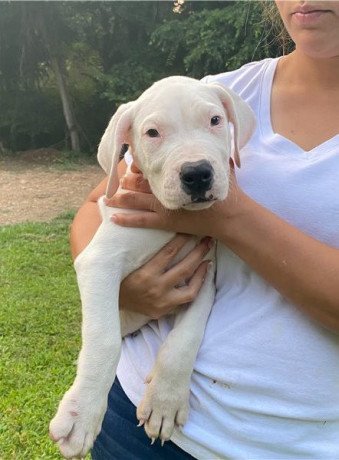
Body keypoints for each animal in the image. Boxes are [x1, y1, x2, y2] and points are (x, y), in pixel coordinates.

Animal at [48, 77, 255, 458]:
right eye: (152, 133)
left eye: (215, 121)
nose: (197, 174)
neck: (173, 221)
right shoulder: (100, 261)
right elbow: (103, 340)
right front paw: (81, 414)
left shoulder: (203, 275)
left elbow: (184, 341)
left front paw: (165, 402)